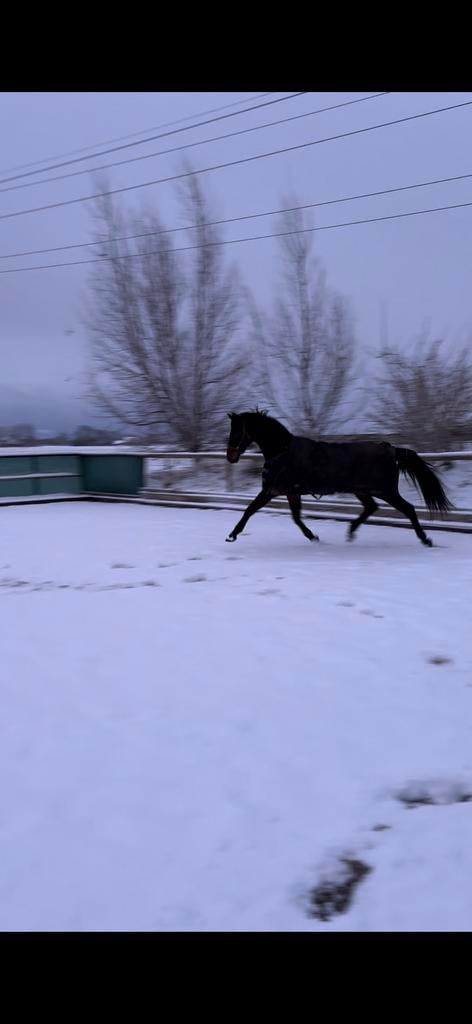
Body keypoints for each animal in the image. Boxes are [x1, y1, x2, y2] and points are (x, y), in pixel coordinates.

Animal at [225, 410, 453, 546]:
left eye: (236, 431)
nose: (230, 457)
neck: (282, 452)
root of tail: (390, 449)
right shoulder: (291, 492)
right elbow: (296, 518)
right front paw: (313, 536)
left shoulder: (271, 490)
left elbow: (250, 509)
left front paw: (232, 535)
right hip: (363, 490)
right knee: (371, 507)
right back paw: (350, 532)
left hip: (385, 491)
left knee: (408, 509)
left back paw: (425, 539)